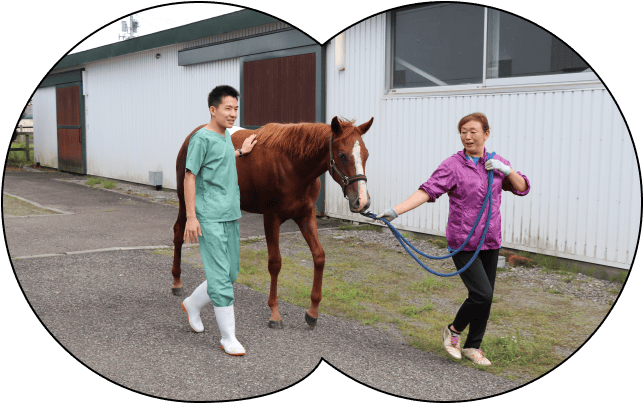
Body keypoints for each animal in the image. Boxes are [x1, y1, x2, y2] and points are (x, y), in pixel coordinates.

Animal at [171, 116, 374, 328]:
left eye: (366, 155)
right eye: (342, 155)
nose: (362, 201)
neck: (292, 165)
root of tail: (193, 134)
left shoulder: (306, 214)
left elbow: (319, 256)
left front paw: (313, 312)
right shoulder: (271, 217)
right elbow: (275, 263)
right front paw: (275, 313)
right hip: (185, 201)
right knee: (178, 233)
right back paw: (177, 282)